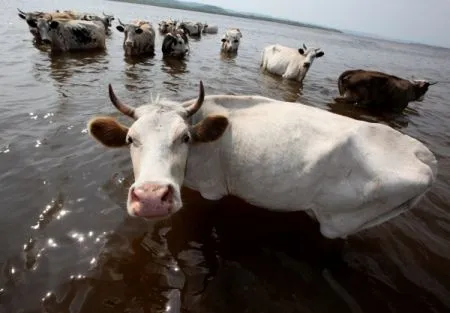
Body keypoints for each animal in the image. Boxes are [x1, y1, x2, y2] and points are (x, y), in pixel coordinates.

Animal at [87, 81, 436, 239]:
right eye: (130, 139)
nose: (150, 198)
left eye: (184, 138)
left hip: (339, 221)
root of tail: (422, 155)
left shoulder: (212, 188)